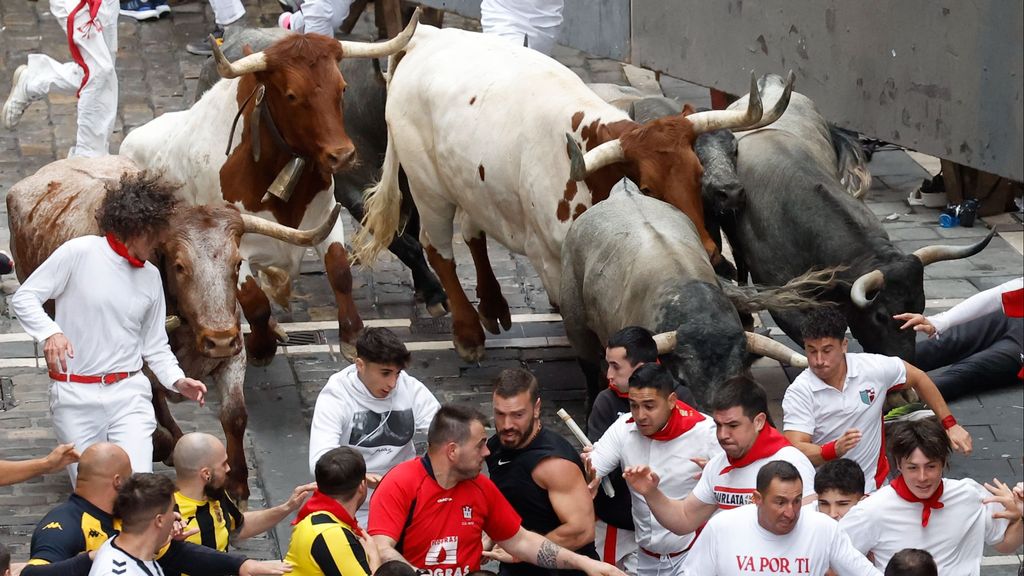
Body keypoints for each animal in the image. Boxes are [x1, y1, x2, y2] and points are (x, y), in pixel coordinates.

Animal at [193, 29, 446, 315]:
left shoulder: (409, 186)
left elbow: (412, 233)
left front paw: (425, 288)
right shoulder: (352, 190)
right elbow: (404, 243)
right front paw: (435, 292)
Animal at [352, 26, 790, 360]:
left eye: (698, 173)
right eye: (648, 187)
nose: (712, 252)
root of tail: (426, 36)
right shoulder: (549, 259)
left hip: (472, 180)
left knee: (474, 232)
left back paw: (493, 305)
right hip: (428, 187)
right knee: (437, 247)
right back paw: (468, 332)